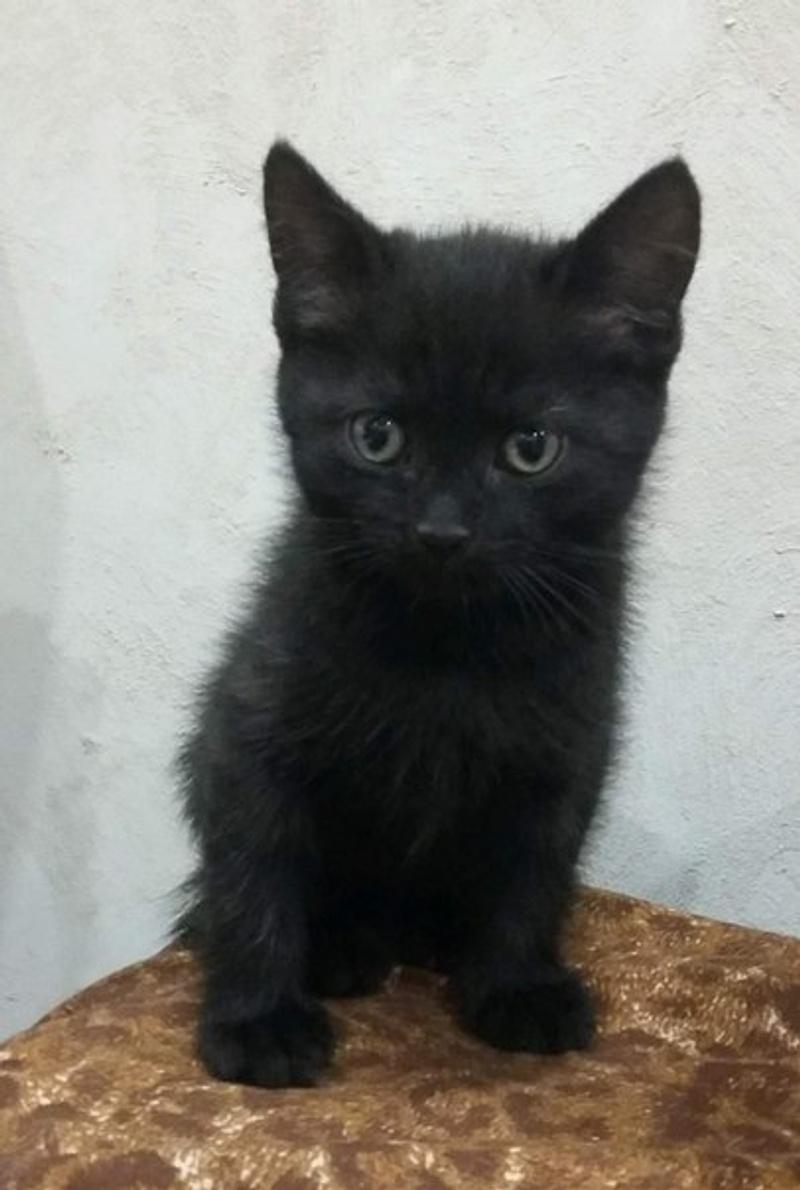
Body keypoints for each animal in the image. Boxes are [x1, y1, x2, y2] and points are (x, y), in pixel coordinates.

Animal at [176, 141, 700, 1088]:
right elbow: (251, 869)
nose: (443, 531)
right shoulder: (246, 725)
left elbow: (536, 865)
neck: (449, 648)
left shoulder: (567, 743)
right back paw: (341, 950)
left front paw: (518, 986)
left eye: (531, 448)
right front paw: (258, 1018)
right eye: (377, 436)